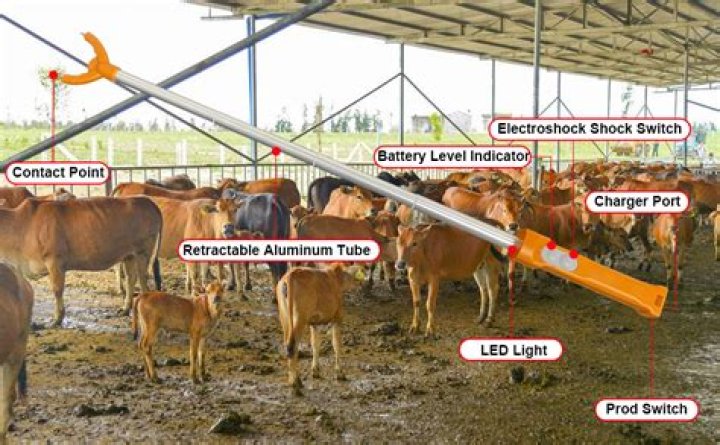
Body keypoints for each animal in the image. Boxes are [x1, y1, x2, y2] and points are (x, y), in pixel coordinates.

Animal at [0, 197, 162, 326]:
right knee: (130, 279)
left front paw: (57, 319)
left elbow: (57, 290)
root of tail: (148, 202)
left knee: (143, 280)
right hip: (129, 255)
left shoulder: (55, 260)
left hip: (143, 251)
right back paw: (125, 309)